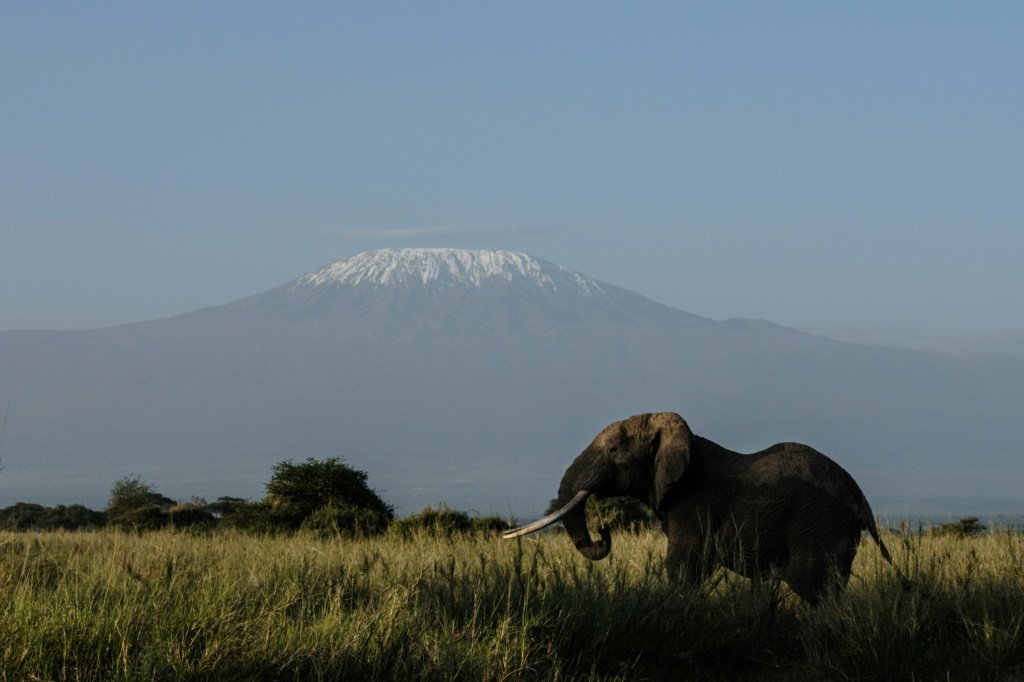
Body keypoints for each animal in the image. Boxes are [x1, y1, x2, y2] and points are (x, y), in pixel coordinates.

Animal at [503, 409, 897, 602]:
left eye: (614, 450)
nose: (604, 530)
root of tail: (862, 501)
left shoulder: (695, 504)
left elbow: (682, 567)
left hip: (820, 525)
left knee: (813, 589)